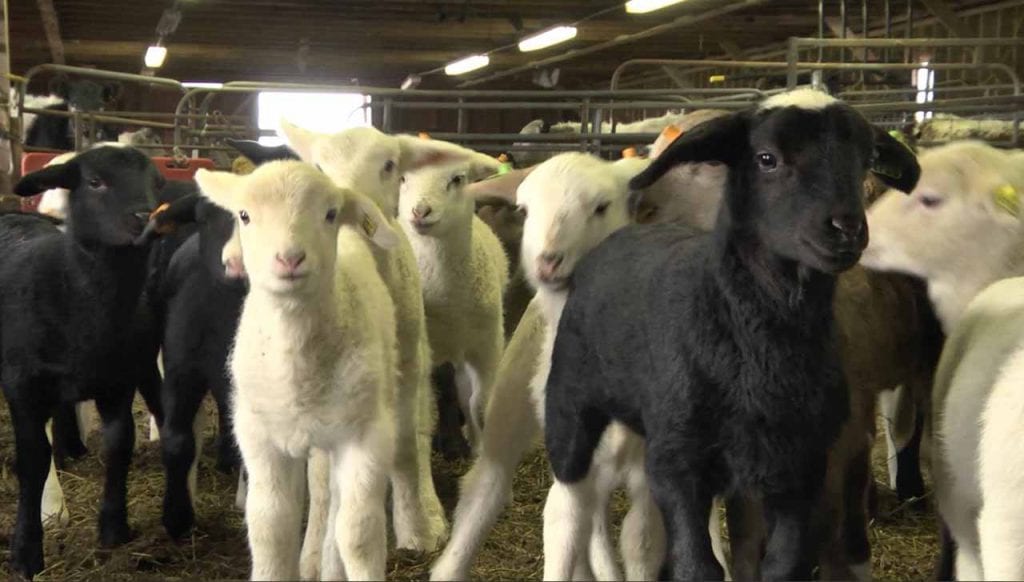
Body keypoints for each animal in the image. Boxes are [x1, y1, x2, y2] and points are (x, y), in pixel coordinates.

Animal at [1, 145, 167, 579]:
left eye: (157, 182)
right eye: (95, 181)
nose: (145, 217)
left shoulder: (118, 382)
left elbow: (120, 443)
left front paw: (114, 526)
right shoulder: (23, 387)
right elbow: (33, 459)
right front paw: (26, 553)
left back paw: (72, 446)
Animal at [194, 160, 400, 580]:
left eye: (330, 214)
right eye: (244, 215)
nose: (290, 258)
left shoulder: (367, 434)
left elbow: (358, 532)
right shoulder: (259, 437)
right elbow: (271, 526)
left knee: (334, 503)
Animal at [398, 156, 509, 454]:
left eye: (457, 179)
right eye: (403, 178)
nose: (420, 211)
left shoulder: (487, 346)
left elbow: (480, 403)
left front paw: (481, 447)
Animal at [432, 153, 727, 581]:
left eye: (601, 207)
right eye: (524, 210)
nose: (548, 262)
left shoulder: (649, 473)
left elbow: (640, 542)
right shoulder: (569, 465)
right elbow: (563, 525)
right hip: (509, 408)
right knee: (485, 488)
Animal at [541, 89, 920, 581]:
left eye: (866, 159)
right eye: (766, 158)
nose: (846, 229)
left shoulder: (802, 468)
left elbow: (780, 564)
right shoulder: (678, 465)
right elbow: (697, 566)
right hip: (569, 399)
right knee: (569, 499)